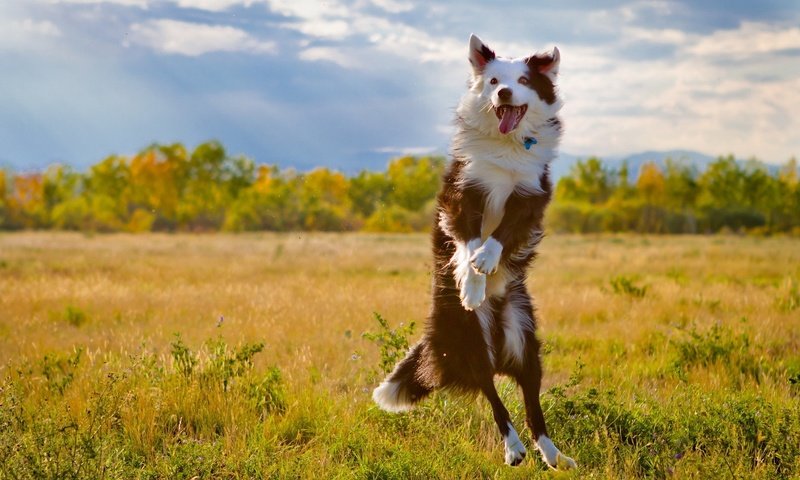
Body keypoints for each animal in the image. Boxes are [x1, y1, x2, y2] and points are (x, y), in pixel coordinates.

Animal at [370, 35, 576, 470]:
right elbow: (467, 243)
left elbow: (500, 235)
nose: (503, 93)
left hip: (524, 337)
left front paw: (486, 261)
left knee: (531, 403)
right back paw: (513, 448)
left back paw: (553, 455)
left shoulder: (529, 197)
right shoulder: (463, 194)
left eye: (523, 80)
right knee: (492, 393)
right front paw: (471, 282)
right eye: (494, 80)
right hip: (469, 337)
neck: (506, 145)